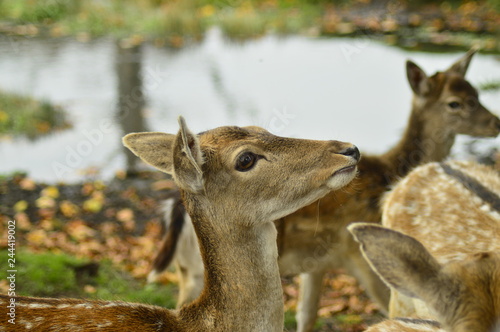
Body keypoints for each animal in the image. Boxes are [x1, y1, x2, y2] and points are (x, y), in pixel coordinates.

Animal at [145, 48, 500, 330]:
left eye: (477, 93)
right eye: (455, 103)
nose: (495, 123)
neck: (390, 171)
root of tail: (174, 206)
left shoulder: (317, 266)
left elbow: (307, 314)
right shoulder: (357, 258)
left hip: (185, 267)